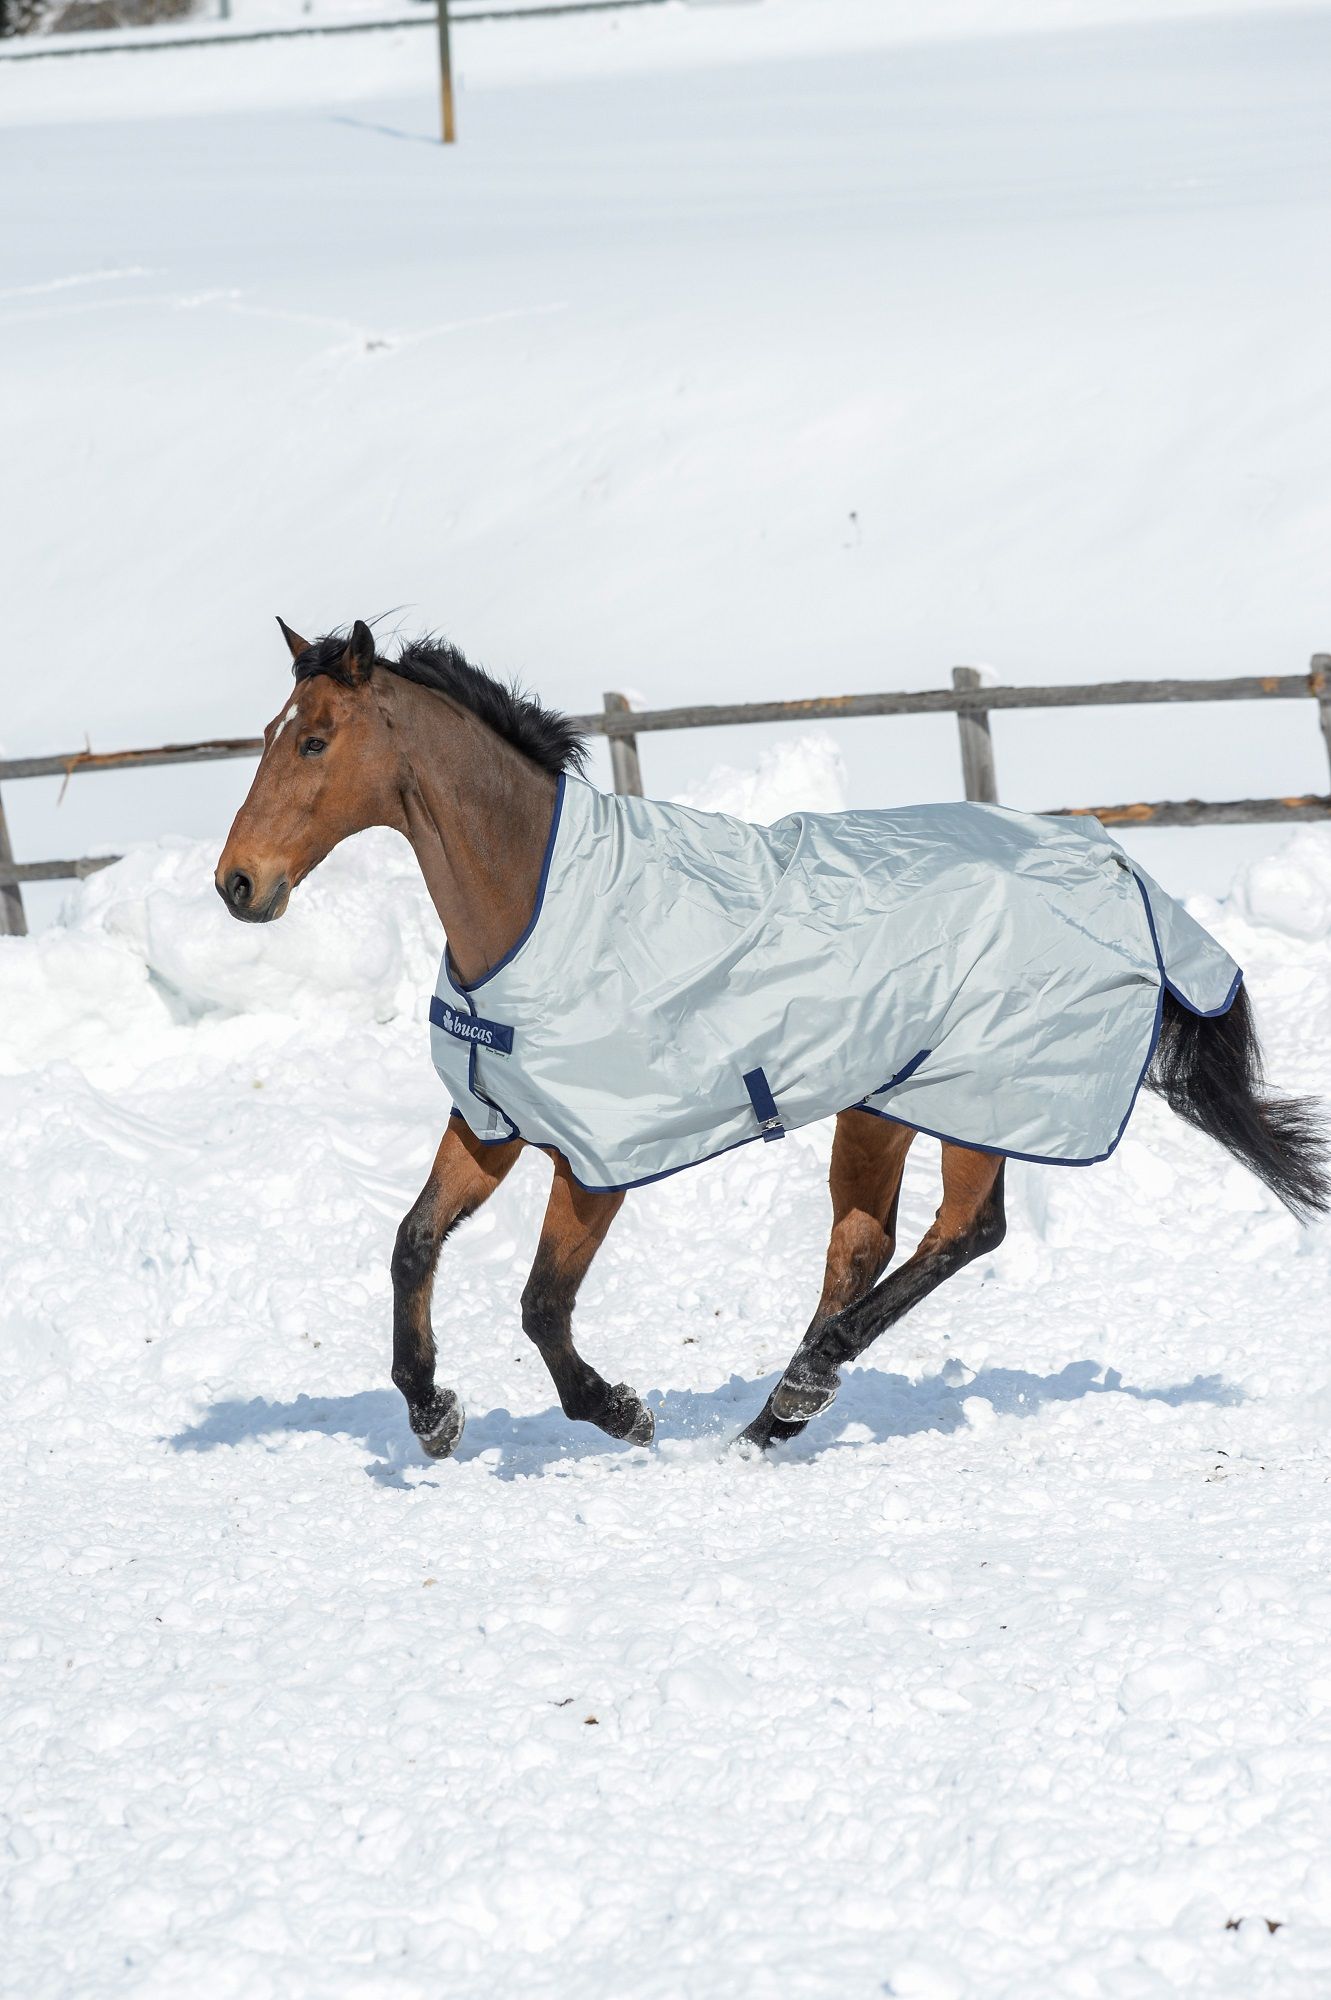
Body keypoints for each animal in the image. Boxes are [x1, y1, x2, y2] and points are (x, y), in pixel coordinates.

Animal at [216, 620, 1329, 1460]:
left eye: (314, 741)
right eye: (267, 731)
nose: (238, 884)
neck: (533, 908)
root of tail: (1114, 862)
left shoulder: (599, 1155)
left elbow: (540, 1303)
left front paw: (620, 1412)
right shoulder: (494, 1121)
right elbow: (411, 1244)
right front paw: (431, 1412)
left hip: (980, 1094)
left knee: (963, 1232)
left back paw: (800, 1385)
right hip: (884, 1099)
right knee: (864, 1241)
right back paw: (774, 1414)